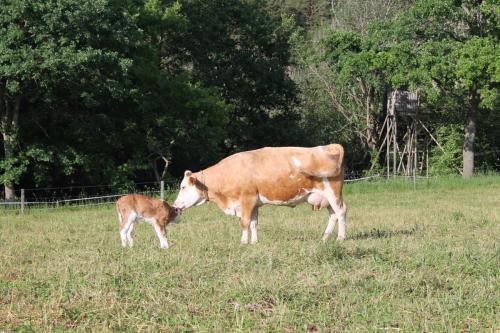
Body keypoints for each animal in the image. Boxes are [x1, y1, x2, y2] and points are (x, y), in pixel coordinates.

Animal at [174, 144, 346, 243]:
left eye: (183, 187)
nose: (175, 205)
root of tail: (331, 146)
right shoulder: (254, 203)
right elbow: (253, 223)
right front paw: (254, 242)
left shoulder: (247, 199)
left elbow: (244, 222)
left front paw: (243, 242)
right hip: (326, 198)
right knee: (333, 215)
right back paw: (324, 238)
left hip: (333, 193)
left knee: (341, 212)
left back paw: (341, 238)